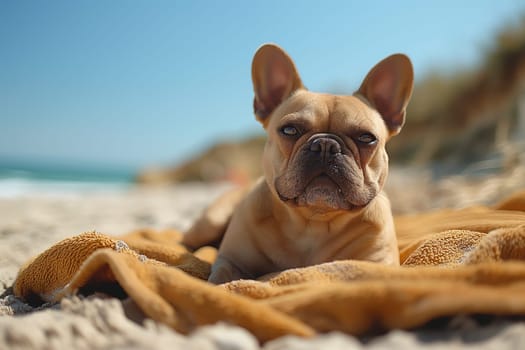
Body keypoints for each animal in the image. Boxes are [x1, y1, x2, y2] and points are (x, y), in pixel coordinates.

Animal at [184, 43, 414, 284]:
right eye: (289, 130)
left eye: (366, 138)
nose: (325, 145)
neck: (313, 222)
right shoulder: (231, 261)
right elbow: (222, 279)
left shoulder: (377, 264)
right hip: (211, 220)